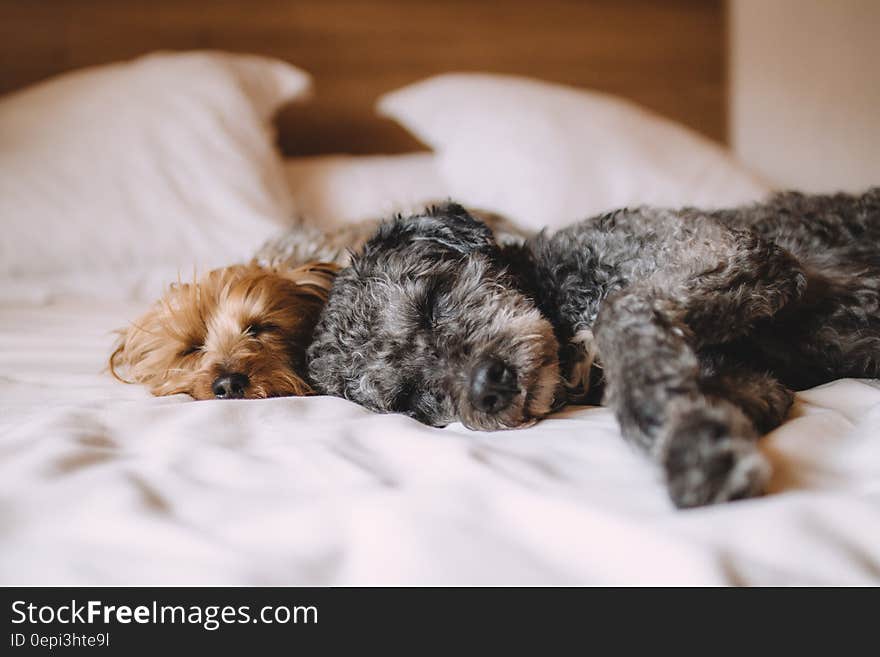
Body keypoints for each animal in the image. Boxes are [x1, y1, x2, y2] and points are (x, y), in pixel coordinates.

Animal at [308, 190, 880, 508]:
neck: (562, 294)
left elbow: (619, 313)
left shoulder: (731, 250)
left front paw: (692, 448)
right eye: (411, 399)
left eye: (430, 301)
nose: (488, 387)